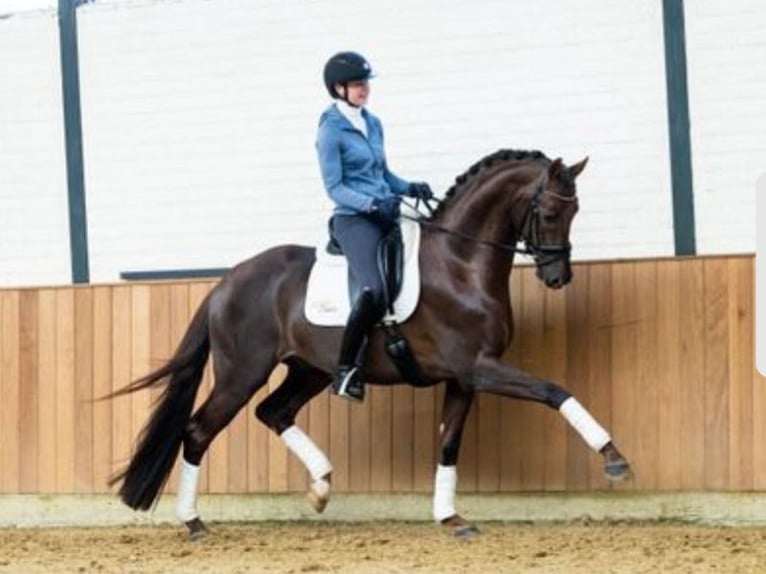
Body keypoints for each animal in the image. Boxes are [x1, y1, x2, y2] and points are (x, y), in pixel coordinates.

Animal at [109, 149, 632, 539]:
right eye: (550, 212)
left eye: (575, 211)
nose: (557, 277)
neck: (460, 264)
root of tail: (226, 281)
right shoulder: (479, 367)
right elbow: (554, 391)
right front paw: (614, 459)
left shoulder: (464, 377)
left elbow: (449, 442)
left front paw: (451, 518)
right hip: (242, 374)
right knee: (198, 431)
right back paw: (195, 523)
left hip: (310, 369)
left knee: (273, 412)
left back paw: (321, 486)